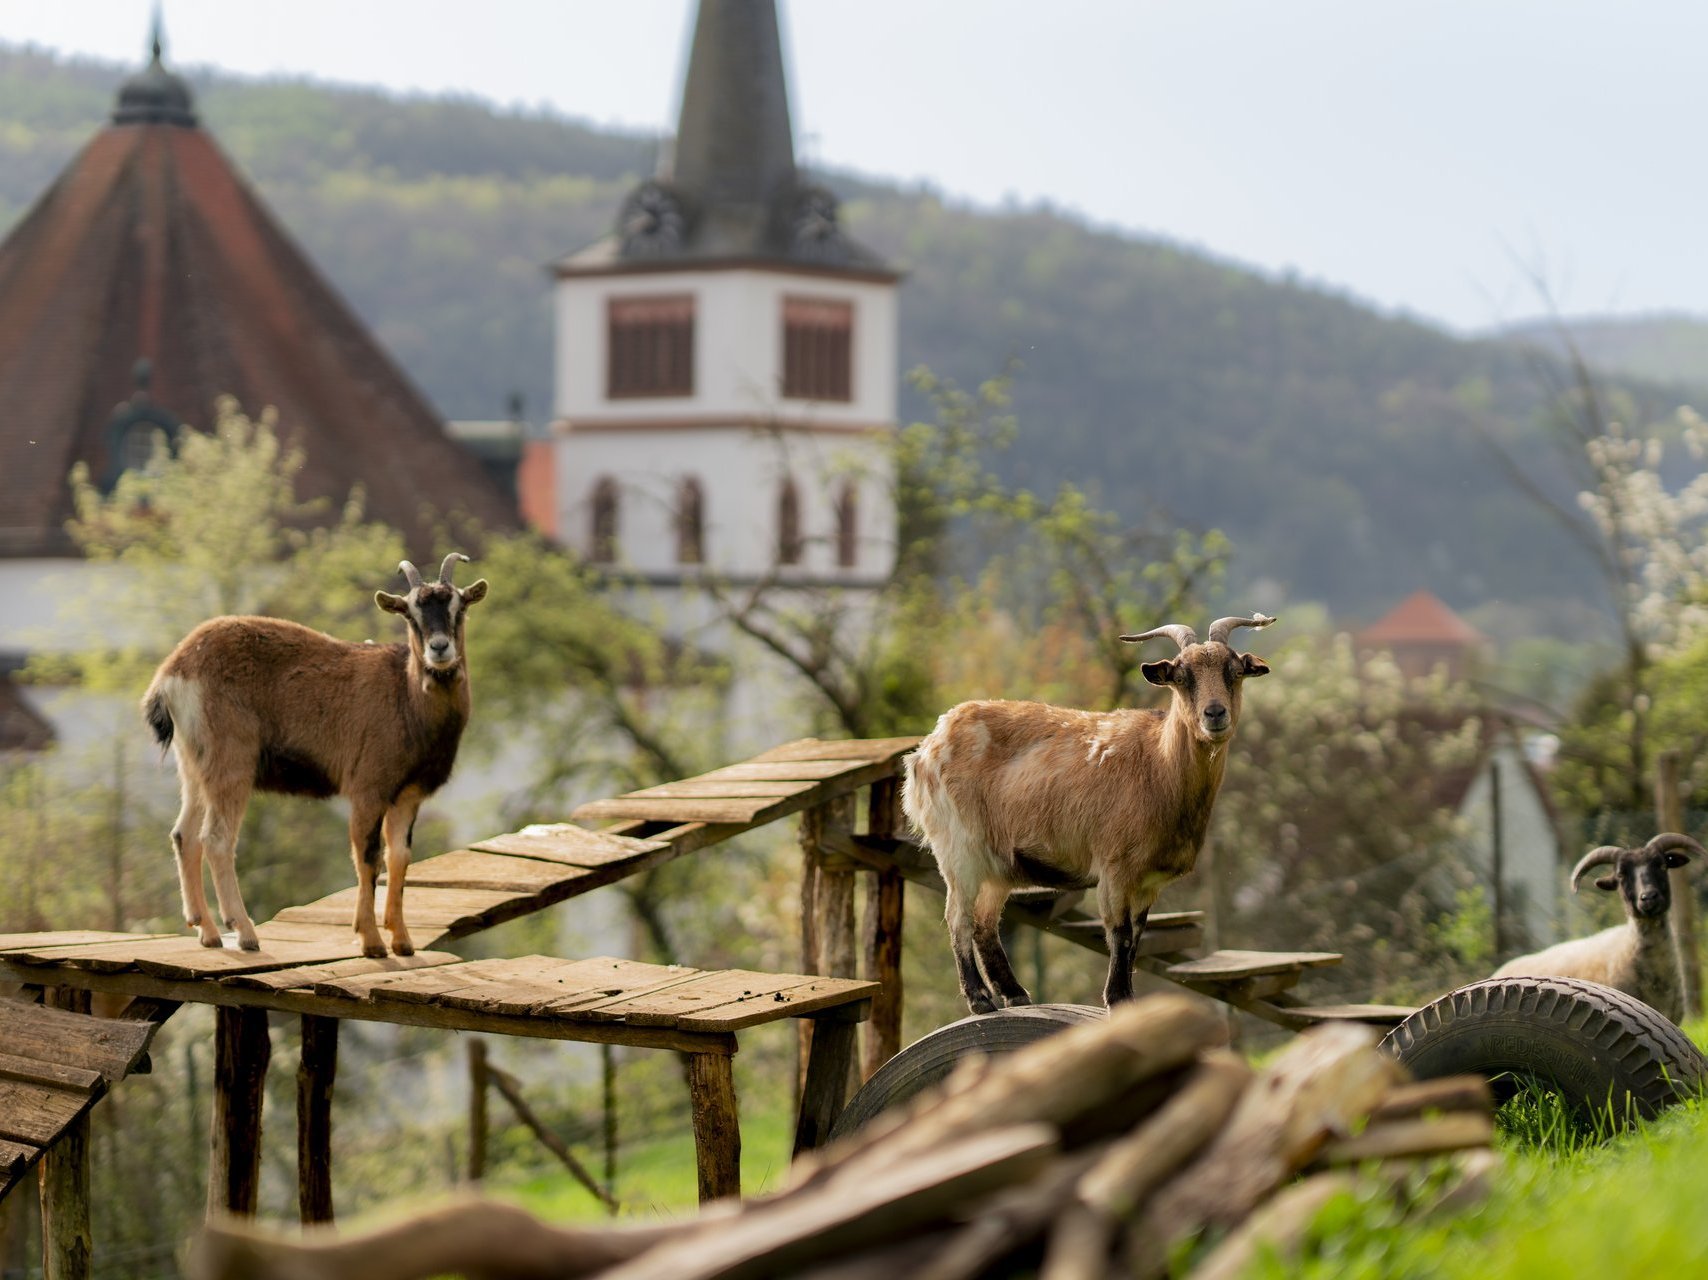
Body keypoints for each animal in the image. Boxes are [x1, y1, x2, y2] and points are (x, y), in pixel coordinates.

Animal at [140, 553, 491, 957]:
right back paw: (244, 932)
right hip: (230, 761)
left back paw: (208, 931)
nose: (439, 649)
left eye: (459, 607)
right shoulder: (367, 789)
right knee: (216, 838)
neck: (405, 697)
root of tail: (172, 673)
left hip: (194, 764)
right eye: (410, 613)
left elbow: (399, 856)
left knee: (184, 834)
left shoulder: (408, 794)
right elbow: (367, 857)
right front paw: (371, 941)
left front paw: (402, 941)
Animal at [901, 608, 1277, 1011]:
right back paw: (980, 1000)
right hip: (960, 849)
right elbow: (1120, 933)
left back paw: (1016, 995)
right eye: (1180, 677)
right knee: (959, 917)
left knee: (986, 921)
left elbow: (1137, 937)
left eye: (1234, 671)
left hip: (996, 864)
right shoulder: (1115, 868)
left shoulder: (1148, 883)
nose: (1215, 713)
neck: (1158, 763)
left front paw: (1127, 1001)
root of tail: (926, 750)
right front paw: (1117, 999)